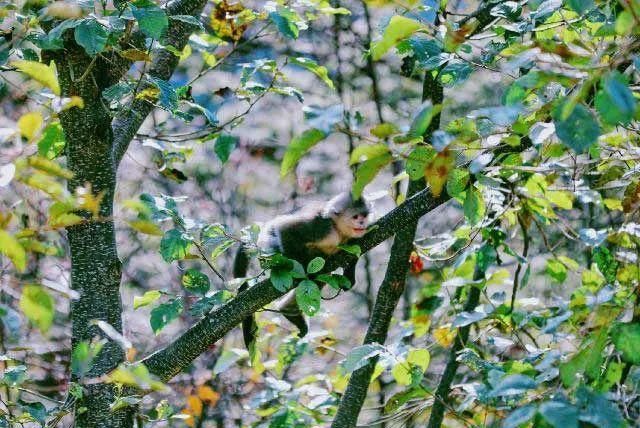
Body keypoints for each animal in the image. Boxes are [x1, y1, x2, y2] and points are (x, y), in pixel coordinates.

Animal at [234, 192, 370, 350]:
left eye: (364, 215)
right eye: (355, 217)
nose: (362, 223)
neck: (338, 230)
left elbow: (355, 250)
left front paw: (349, 277)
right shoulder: (320, 226)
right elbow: (284, 227)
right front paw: (298, 269)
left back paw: (289, 311)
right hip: (269, 247)